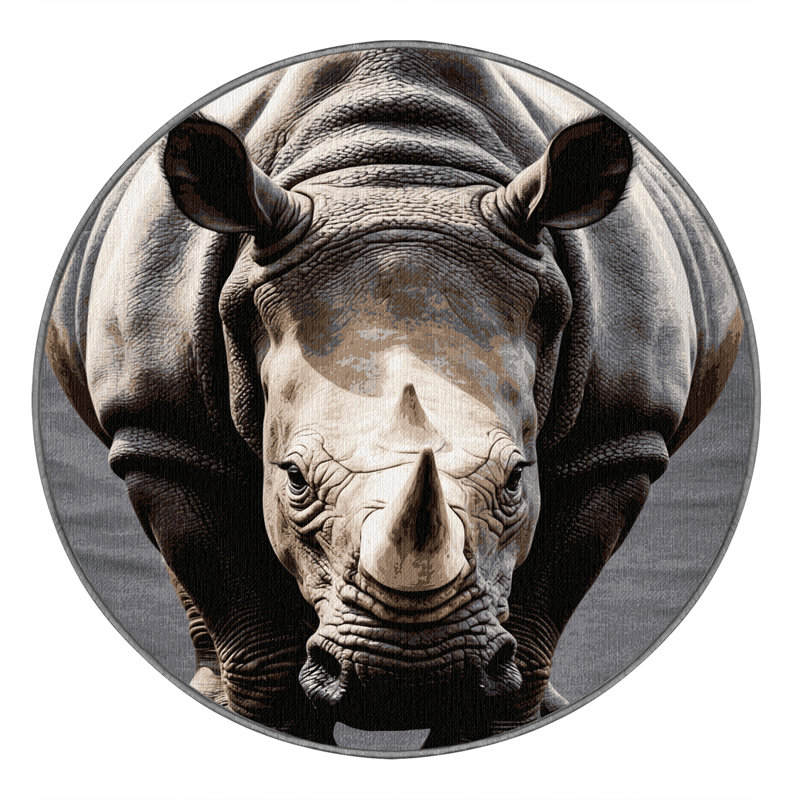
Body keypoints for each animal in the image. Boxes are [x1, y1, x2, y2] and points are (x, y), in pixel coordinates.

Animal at [46, 47, 743, 747]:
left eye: (516, 478)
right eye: (293, 479)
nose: (409, 681)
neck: (397, 174)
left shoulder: (619, 438)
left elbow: (533, 633)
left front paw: (486, 715)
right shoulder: (163, 431)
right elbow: (256, 639)